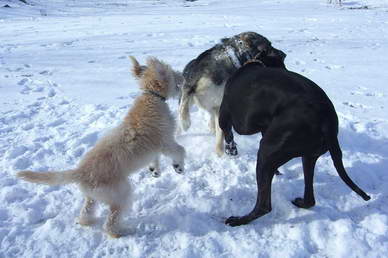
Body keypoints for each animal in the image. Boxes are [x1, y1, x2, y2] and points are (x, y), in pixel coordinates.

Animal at [17, 56, 186, 238]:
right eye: (171, 72)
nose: (183, 75)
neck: (152, 97)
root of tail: (81, 172)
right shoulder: (166, 141)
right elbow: (180, 150)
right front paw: (179, 167)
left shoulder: (155, 147)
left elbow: (155, 158)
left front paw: (155, 170)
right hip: (121, 193)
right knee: (111, 222)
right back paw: (122, 232)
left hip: (93, 195)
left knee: (86, 212)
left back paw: (87, 222)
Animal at [220, 61, 372, 227]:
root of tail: (326, 121)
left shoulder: (231, 118)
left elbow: (228, 133)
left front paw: (230, 150)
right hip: (308, 156)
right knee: (310, 199)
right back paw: (301, 202)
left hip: (266, 151)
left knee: (264, 206)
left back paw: (239, 220)